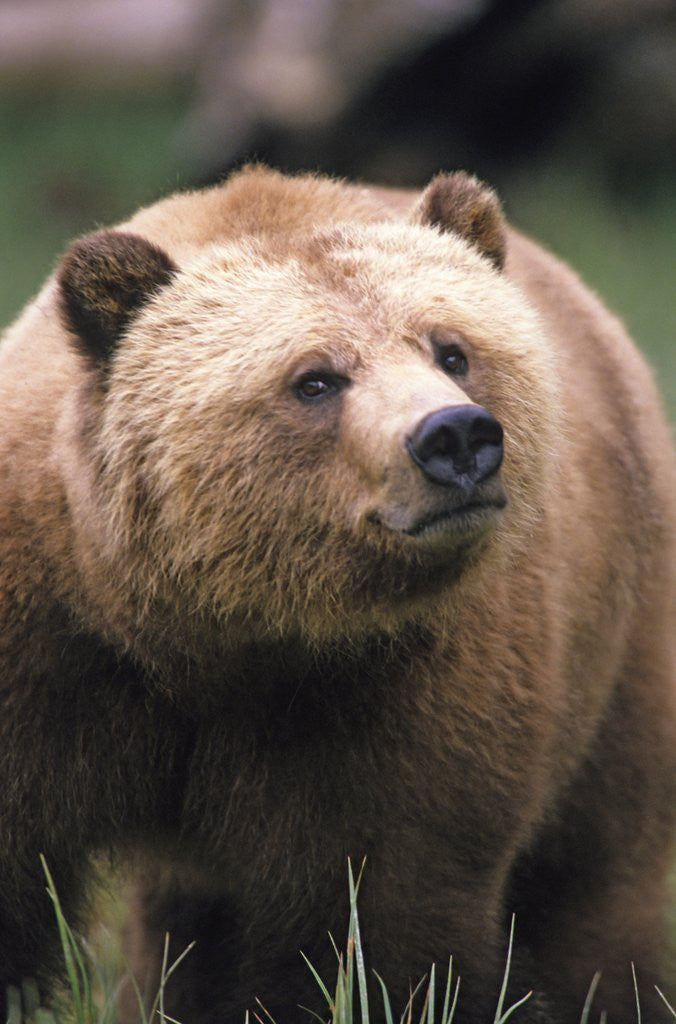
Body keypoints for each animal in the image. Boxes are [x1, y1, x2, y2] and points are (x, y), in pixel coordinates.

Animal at [0, 165, 674, 1024]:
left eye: (452, 350)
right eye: (315, 378)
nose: (455, 437)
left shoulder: (405, 699)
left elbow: (375, 915)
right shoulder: (48, 652)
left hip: (619, 641)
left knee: (594, 880)